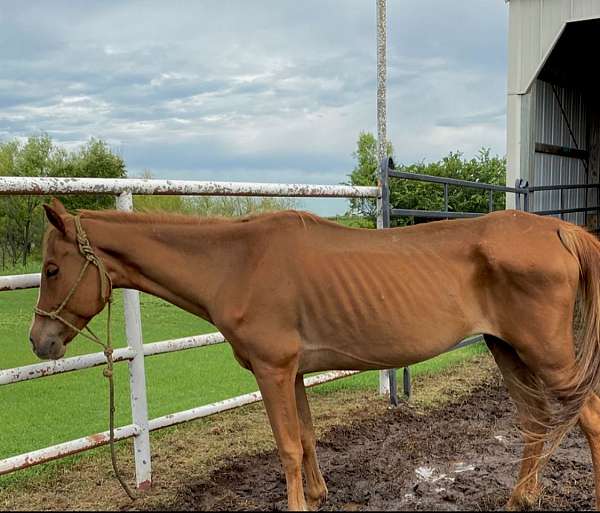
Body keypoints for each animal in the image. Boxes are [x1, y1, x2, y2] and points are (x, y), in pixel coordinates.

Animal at [29, 196, 600, 508]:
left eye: (52, 269)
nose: (40, 342)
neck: (236, 263)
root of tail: (560, 229)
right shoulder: (295, 372)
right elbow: (305, 437)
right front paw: (320, 494)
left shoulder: (272, 370)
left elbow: (286, 445)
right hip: (508, 350)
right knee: (534, 420)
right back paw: (520, 497)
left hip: (546, 355)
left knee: (587, 415)